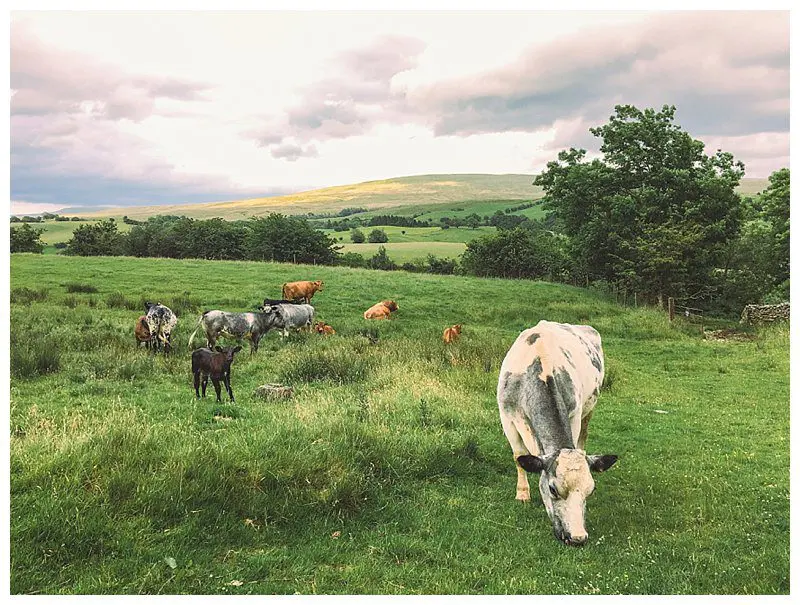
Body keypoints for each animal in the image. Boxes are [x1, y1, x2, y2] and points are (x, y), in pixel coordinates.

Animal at [494, 320, 620, 548]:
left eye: (591, 490)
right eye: (553, 489)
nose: (578, 537)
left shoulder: (574, 415)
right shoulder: (507, 418)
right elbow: (518, 457)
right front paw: (522, 494)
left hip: (590, 407)